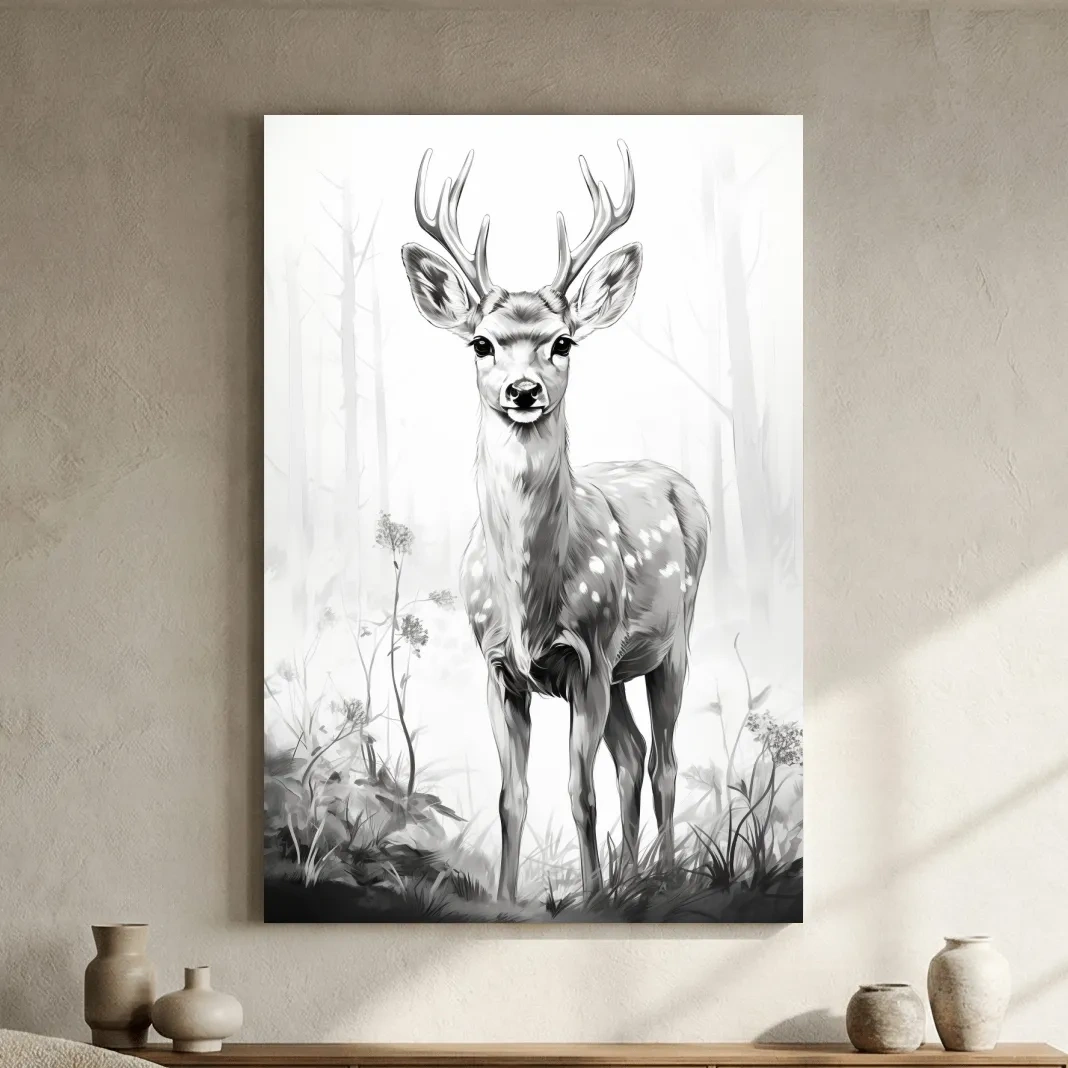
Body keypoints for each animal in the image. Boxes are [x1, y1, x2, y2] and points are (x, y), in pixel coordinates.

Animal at [400, 140, 709, 902]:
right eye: (480, 343)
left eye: (563, 342)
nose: (523, 390)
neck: (528, 605)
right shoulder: (498, 668)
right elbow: (511, 798)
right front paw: (508, 901)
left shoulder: (589, 655)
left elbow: (579, 792)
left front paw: (592, 899)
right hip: (624, 668)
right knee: (632, 752)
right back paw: (632, 879)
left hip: (673, 640)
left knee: (663, 759)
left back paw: (658, 880)